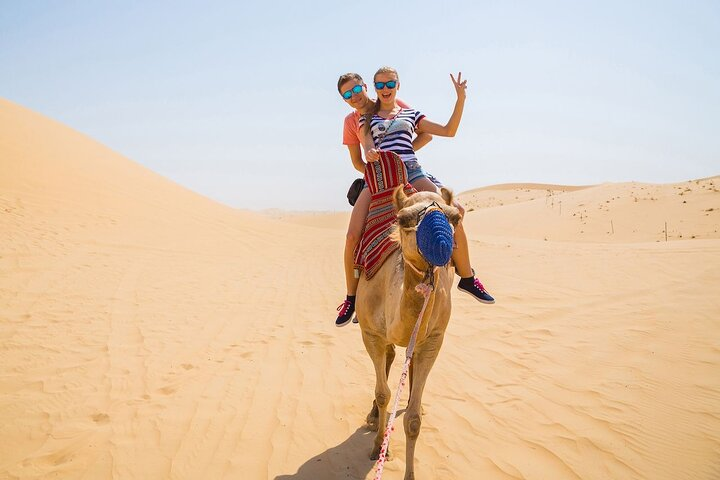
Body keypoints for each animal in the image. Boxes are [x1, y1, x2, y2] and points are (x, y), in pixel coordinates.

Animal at [356, 185, 462, 480]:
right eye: (403, 219)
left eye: (456, 218)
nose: (441, 244)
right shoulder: (371, 333)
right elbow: (384, 394)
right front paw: (378, 448)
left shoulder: (434, 339)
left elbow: (413, 420)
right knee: (390, 359)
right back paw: (373, 417)